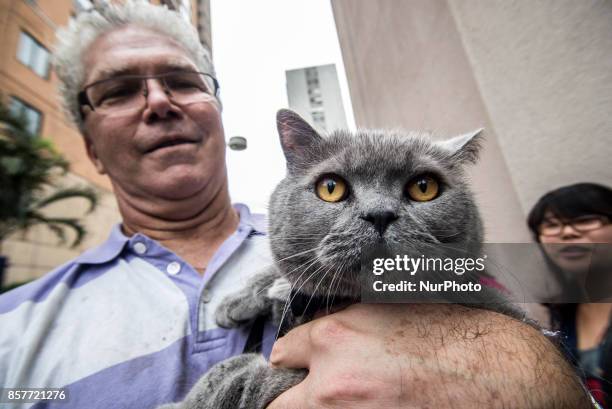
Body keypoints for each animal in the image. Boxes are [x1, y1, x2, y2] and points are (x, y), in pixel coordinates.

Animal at [160, 109, 524, 408]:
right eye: (331, 188)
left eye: (424, 187)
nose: (379, 214)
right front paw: (237, 301)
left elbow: (239, 373)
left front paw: (184, 402)